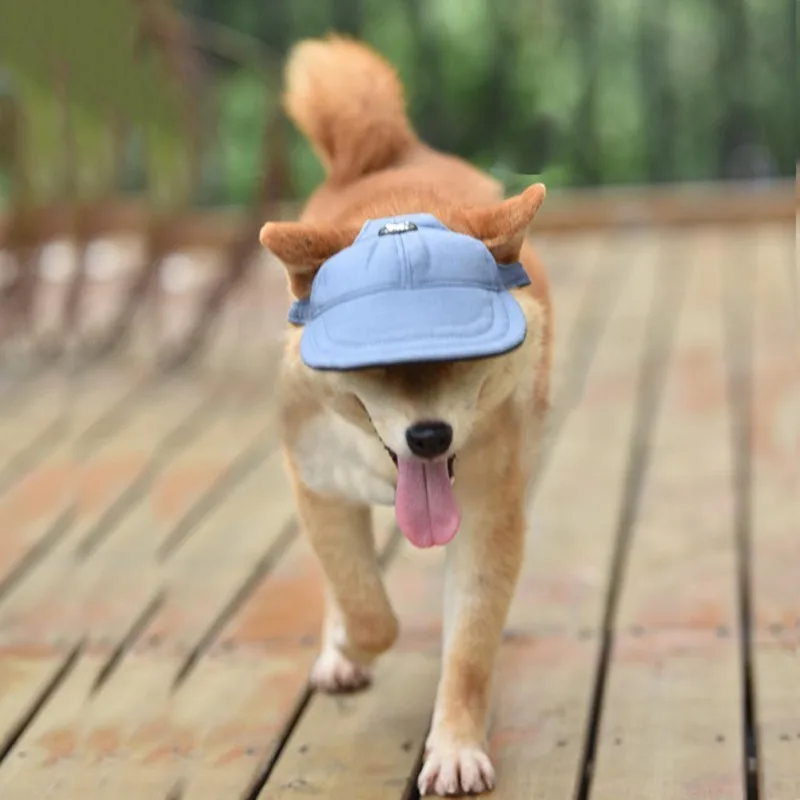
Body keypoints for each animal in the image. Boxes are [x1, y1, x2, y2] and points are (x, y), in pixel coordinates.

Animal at [260, 36, 552, 792]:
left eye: (463, 359)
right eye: (374, 367)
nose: (428, 436)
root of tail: (396, 152)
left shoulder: (488, 516)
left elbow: (468, 652)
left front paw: (454, 746)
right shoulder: (317, 487)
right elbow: (365, 607)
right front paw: (348, 643)